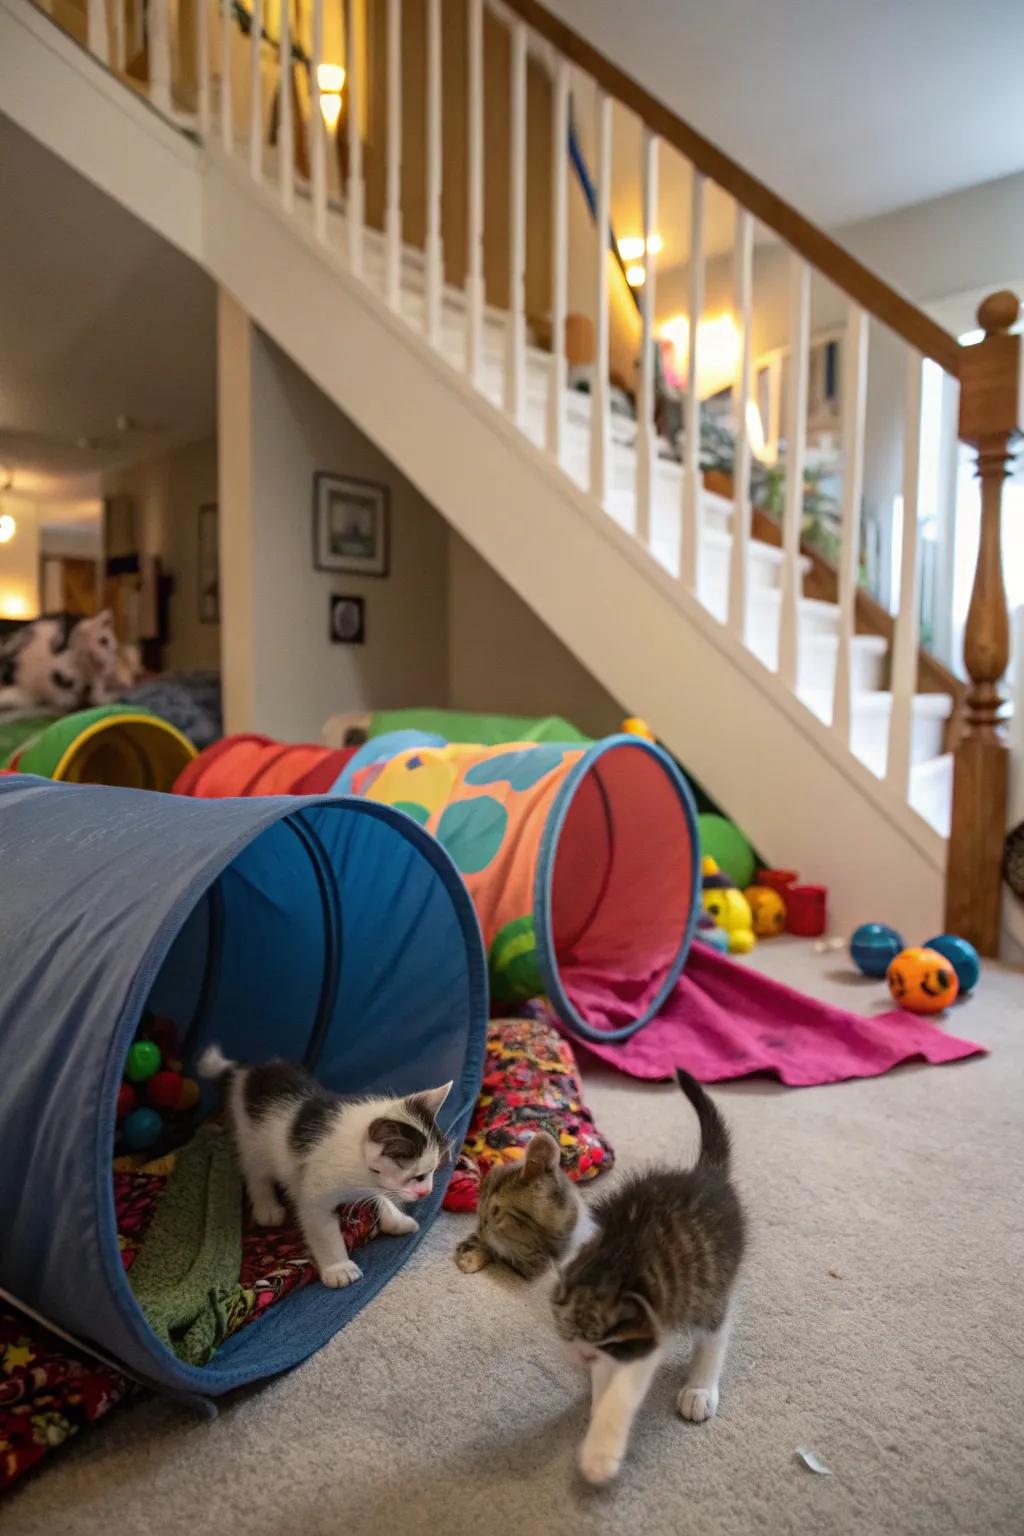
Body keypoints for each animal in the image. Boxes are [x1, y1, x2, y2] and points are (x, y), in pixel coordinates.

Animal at [199, 1050, 451, 1290]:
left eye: (432, 1171)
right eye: (418, 1176)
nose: (427, 1192)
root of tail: (249, 1070)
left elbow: (381, 1195)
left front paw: (396, 1219)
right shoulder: (314, 1194)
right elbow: (324, 1232)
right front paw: (338, 1268)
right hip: (251, 1138)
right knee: (255, 1172)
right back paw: (266, 1207)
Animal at [552, 1069, 746, 1486]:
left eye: (608, 1338)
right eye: (567, 1332)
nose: (582, 1356)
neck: (616, 1258)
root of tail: (704, 1174)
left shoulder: (647, 1333)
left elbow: (625, 1389)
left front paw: (600, 1452)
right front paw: (596, 1400)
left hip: (711, 1283)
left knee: (716, 1329)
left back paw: (700, 1387)